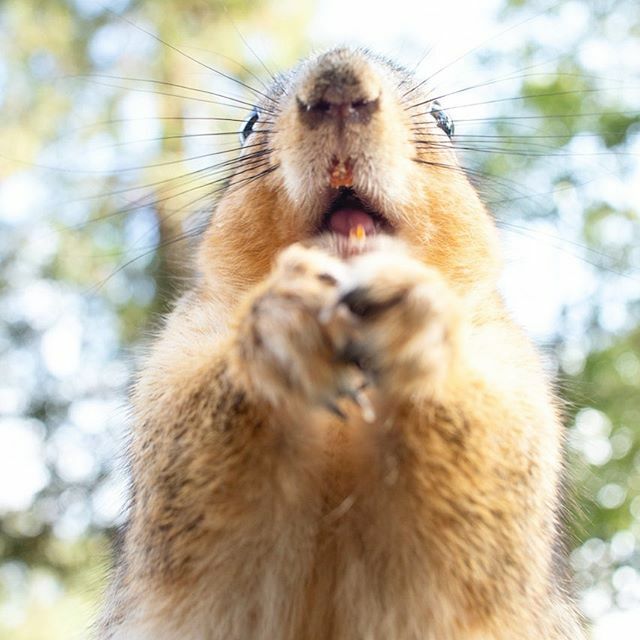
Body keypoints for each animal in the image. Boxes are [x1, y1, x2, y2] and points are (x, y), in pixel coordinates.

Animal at [97, 48, 586, 639]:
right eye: (247, 126)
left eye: (444, 121)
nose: (338, 93)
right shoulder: (175, 359)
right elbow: (181, 459)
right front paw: (278, 325)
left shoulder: (514, 369)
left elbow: (502, 466)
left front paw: (419, 323)